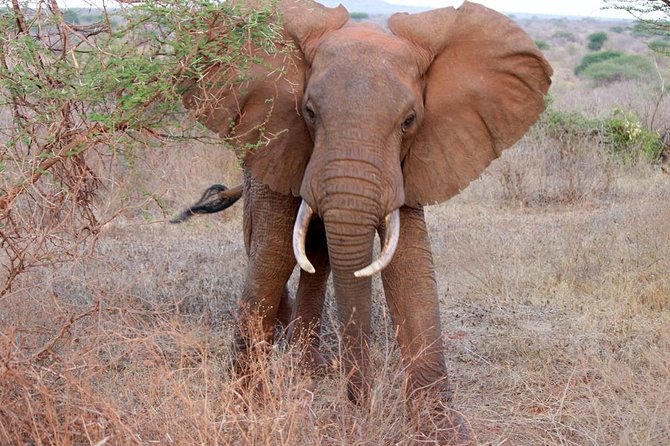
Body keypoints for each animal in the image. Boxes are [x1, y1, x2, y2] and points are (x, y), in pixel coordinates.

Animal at [178, 0, 552, 440]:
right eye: (309, 112)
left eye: (410, 120)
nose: (356, 409)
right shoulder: (277, 137)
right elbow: (273, 254)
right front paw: (242, 409)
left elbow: (410, 265)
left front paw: (442, 432)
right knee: (274, 245)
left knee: (317, 253)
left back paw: (309, 367)